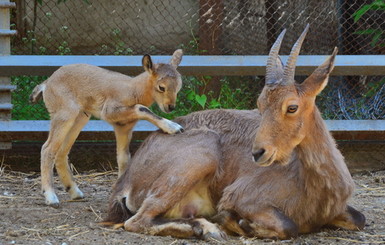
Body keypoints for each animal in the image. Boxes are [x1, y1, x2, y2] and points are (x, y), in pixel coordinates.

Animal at [30, 49, 183, 207]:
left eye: (179, 86)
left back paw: (75, 192)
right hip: (64, 114)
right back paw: (51, 197)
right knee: (47, 148)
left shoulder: (123, 126)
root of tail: (46, 84)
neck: (132, 90)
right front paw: (173, 127)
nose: (170, 107)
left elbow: (123, 158)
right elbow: (141, 108)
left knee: (61, 152)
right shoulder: (110, 111)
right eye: (161, 87)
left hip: (80, 117)